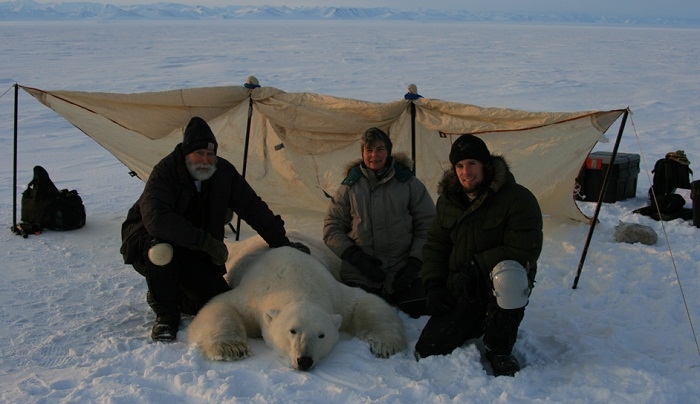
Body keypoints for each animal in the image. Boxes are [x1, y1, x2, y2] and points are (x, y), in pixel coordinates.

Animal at [187, 234, 410, 370]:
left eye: (321, 335)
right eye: (292, 330)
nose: (304, 360)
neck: (296, 283)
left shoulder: (333, 292)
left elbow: (364, 302)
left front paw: (385, 345)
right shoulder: (254, 294)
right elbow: (223, 305)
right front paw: (231, 349)